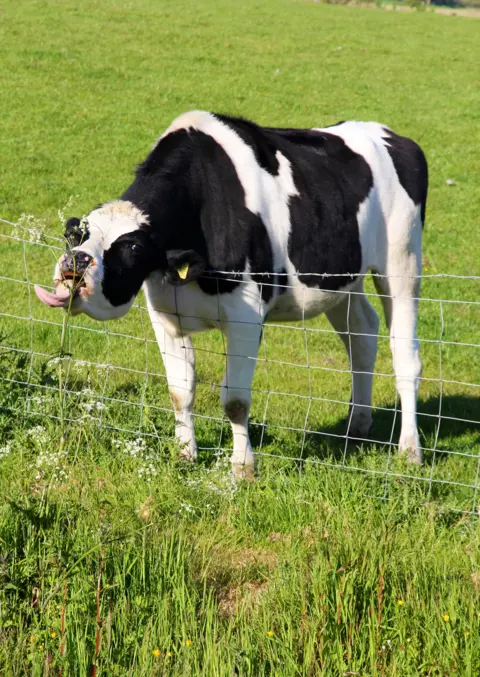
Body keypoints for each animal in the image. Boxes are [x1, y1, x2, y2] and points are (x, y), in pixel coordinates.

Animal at [35, 111, 428, 478]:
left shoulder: (245, 317)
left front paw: (242, 469)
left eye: (132, 247)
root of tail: (391, 135)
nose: (75, 262)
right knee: (361, 333)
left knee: (405, 357)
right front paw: (185, 455)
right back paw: (357, 426)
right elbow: (180, 390)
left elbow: (235, 400)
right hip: (341, 280)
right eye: (76, 234)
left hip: (402, 264)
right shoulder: (165, 317)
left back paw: (410, 451)